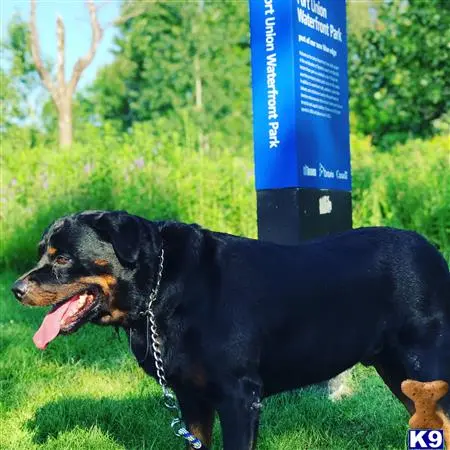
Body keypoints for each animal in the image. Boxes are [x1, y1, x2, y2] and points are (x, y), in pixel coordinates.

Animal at [10, 211, 450, 450]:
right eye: (41, 253)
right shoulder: (192, 399)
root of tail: (434, 253)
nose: (16, 289)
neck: (161, 290)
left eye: (62, 258)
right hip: (399, 371)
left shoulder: (240, 397)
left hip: (424, 363)